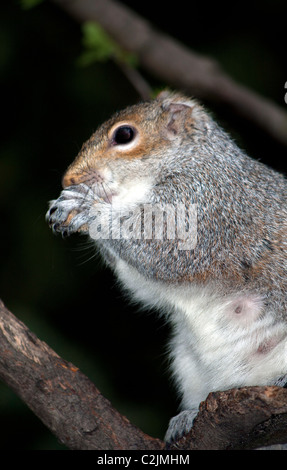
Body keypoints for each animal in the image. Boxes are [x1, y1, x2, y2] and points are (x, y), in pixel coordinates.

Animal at [46, 91, 287, 440]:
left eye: (124, 135)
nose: (70, 178)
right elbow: (144, 286)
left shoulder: (205, 204)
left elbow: (163, 249)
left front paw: (88, 206)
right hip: (189, 365)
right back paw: (188, 416)